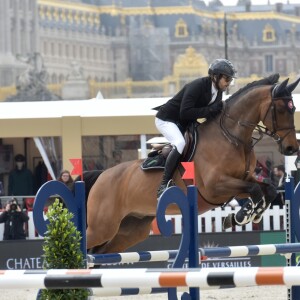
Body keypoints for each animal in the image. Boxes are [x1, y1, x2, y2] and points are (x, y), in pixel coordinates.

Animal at [84, 74, 300, 253]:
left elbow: (267, 190)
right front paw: (240, 217)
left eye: (293, 109)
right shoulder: (215, 186)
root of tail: (101, 175)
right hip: (102, 227)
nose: (292, 148)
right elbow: (255, 190)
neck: (232, 138)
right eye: (282, 109)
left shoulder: (240, 182)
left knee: (101, 253)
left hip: (131, 229)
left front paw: (246, 215)